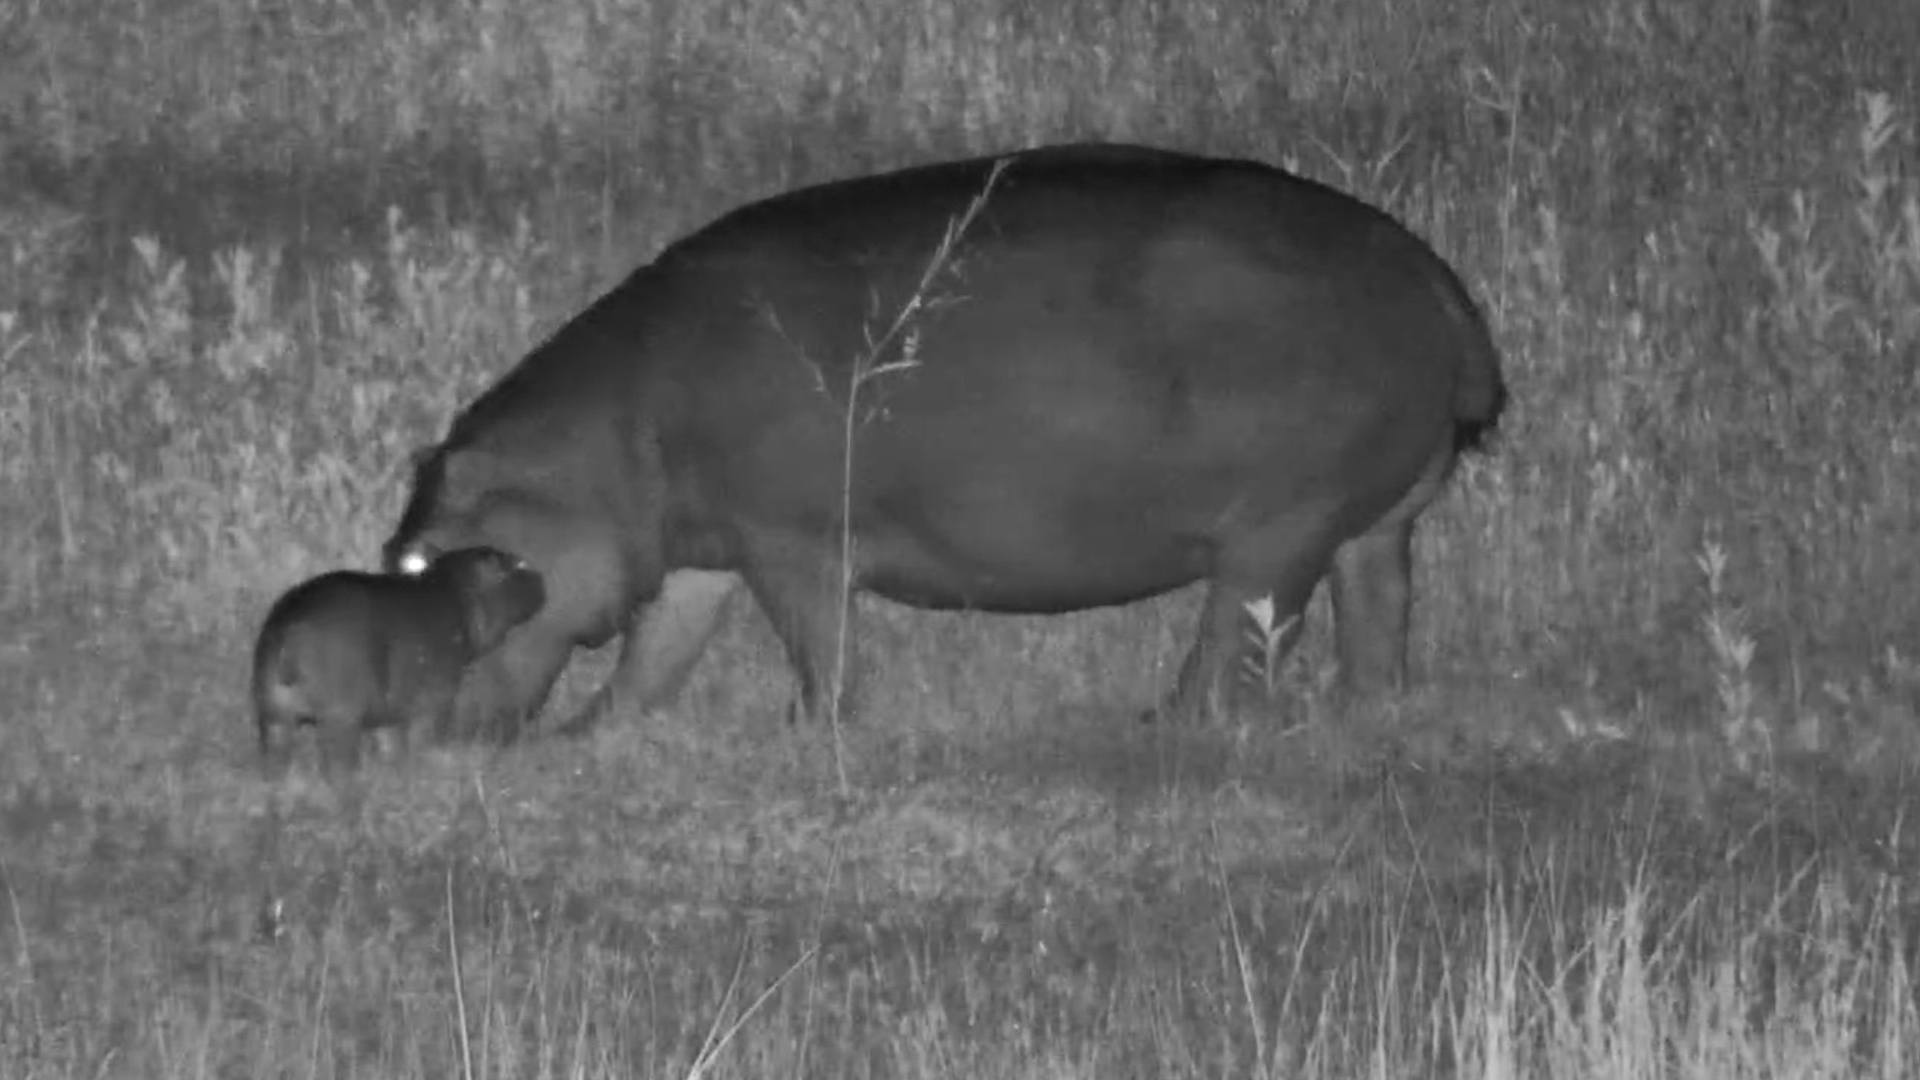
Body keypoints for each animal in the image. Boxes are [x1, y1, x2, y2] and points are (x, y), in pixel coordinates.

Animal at [251, 547, 546, 777]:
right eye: (518, 564)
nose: (542, 577)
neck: (456, 589)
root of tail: (290, 628)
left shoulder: (390, 707)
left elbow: (391, 741)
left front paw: (397, 770)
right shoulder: (439, 691)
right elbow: (429, 730)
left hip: (273, 714)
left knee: (275, 755)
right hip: (339, 716)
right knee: (337, 761)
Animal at [384, 142, 1506, 736]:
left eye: (432, 558)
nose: (416, 729)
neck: (609, 436)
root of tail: (1438, 285)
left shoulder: (791, 543)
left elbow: (818, 645)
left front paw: (812, 730)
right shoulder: (702, 548)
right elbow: (659, 651)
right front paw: (594, 731)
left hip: (1277, 528)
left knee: (1238, 636)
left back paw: (1164, 722)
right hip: (1373, 522)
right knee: (1376, 618)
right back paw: (1367, 710)